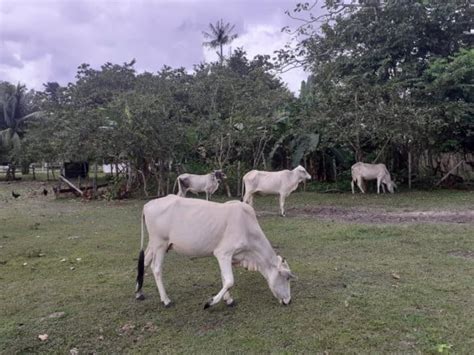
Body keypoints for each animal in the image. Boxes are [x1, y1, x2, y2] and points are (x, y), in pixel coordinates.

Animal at [135, 196, 294, 310]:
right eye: (286, 278)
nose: (289, 301)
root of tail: (148, 205)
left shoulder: (227, 257)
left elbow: (225, 279)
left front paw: (228, 300)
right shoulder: (223, 253)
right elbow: (229, 280)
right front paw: (210, 302)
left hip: (154, 245)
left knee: (144, 263)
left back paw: (139, 293)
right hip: (160, 245)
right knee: (156, 269)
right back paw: (166, 300)